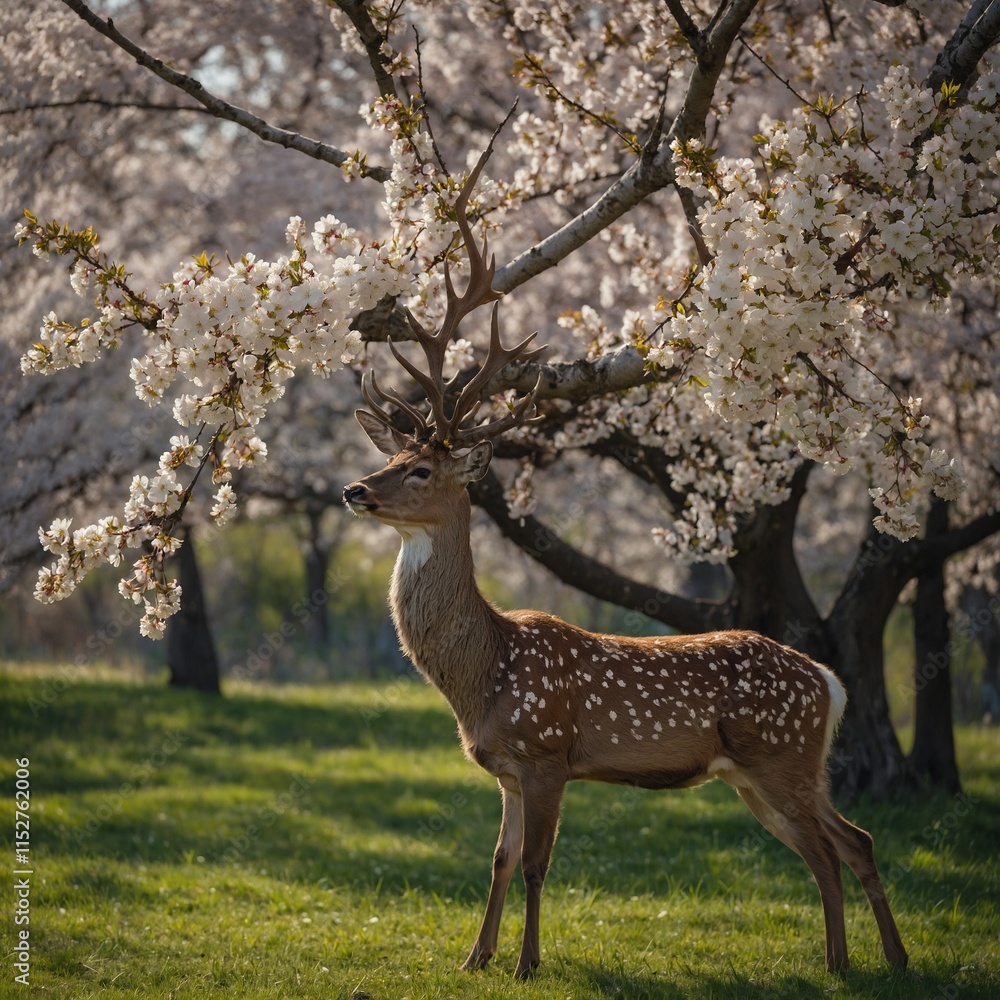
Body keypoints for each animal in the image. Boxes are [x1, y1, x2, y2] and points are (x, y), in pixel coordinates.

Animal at [342, 143, 908, 981]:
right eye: (389, 457)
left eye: (418, 470)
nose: (354, 489)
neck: (484, 672)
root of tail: (830, 682)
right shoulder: (506, 769)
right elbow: (498, 861)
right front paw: (476, 958)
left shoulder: (549, 750)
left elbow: (538, 865)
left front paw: (527, 965)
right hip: (764, 771)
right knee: (846, 844)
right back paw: (870, 962)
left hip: (781, 753)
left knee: (836, 847)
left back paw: (854, 963)